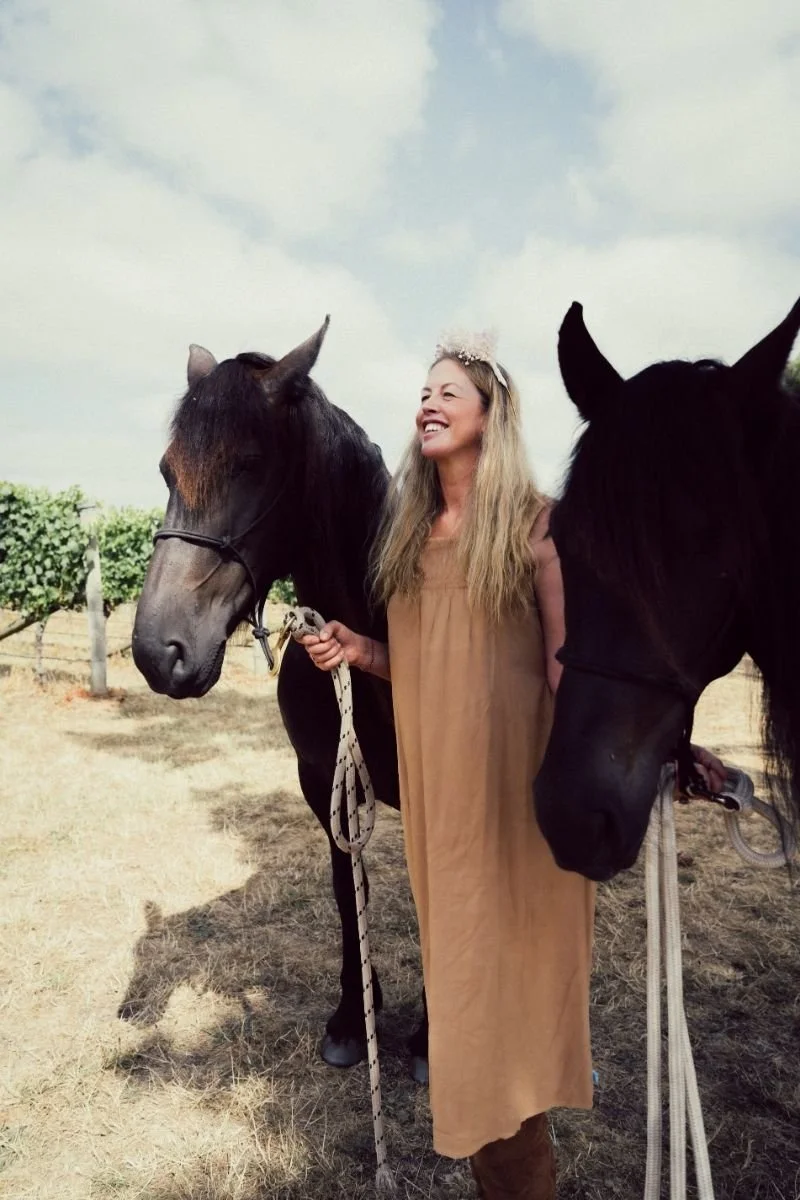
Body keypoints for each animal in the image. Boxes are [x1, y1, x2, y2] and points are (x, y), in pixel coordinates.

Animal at [129, 318, 428, 1075]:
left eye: (250, 464)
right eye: (167, 470)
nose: (157, 651)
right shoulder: (324, 782)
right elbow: (347, 892)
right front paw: (354, 1014)